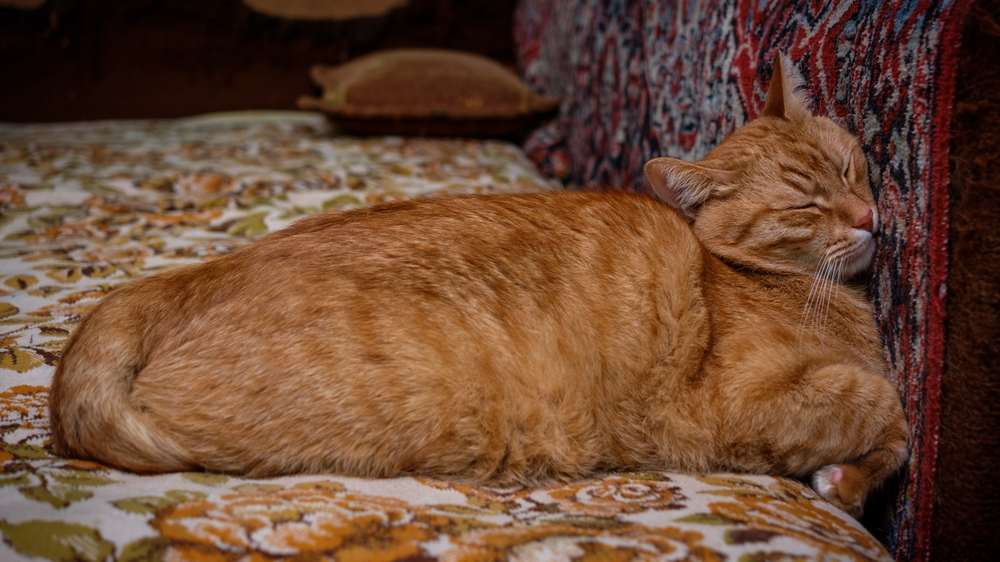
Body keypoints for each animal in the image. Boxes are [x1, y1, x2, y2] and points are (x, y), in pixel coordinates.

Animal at [48, 58, 908, 516]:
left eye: (848, 167)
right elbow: (887, 408)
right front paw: (847, 479)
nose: (869, 217)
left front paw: (848, 478)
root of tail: (191, 274)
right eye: (803, 205)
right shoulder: (745, 404)